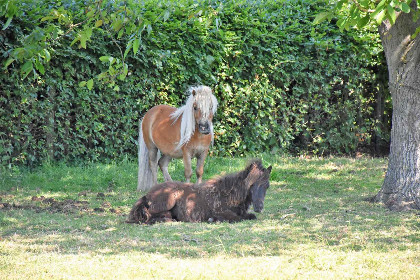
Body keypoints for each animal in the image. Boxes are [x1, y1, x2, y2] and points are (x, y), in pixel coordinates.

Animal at [127, 159, 272, 224]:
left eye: (267, 186)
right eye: (252, 185)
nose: (259, 207)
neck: (228, 195)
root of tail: (148, 194)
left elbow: (250, 216)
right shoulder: (222, 212)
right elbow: (236, 218)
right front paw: (213, 219)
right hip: (168, 201)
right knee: (146, 214)